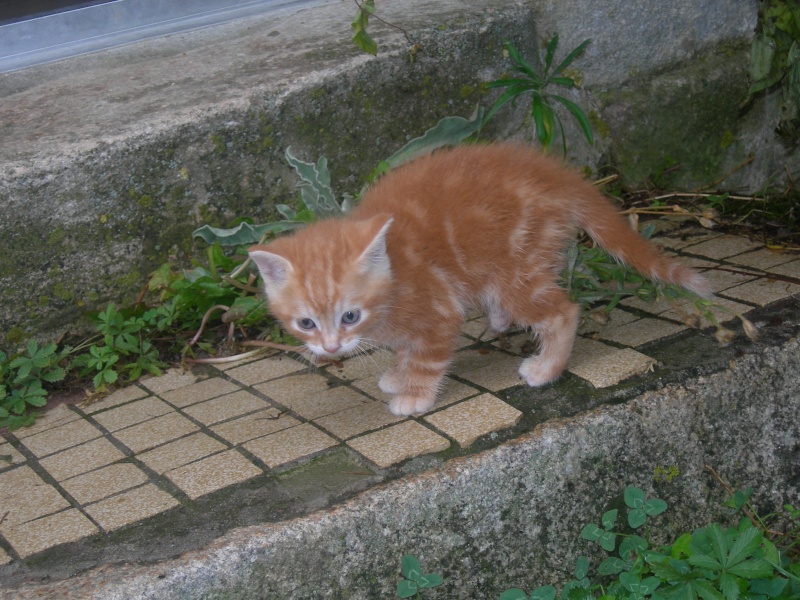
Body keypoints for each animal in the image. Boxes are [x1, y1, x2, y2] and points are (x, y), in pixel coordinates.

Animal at [247, 146, 708, 418]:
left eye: (350, 316)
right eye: (306, 323)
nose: (330, 349)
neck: (396, 272)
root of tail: (557, 175)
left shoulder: (438, 312)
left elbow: (428, 357)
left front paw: (414, 394)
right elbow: (406, 348)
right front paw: (398, 373)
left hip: (516, 269)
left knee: (563, 310)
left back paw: (546, 368)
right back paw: (501, 320)